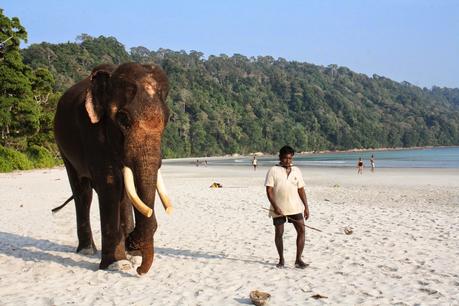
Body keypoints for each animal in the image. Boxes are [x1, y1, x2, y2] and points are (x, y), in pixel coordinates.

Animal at [54, 62, 172, 274]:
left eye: (167, 119)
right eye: (123, 118)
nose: (140, 271)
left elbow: (124, 190)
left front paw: (133, 257)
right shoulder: (91, 132)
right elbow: (110, 186)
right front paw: (117, 264)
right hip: (63, 148)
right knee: (83, 193)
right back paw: (87, 251)